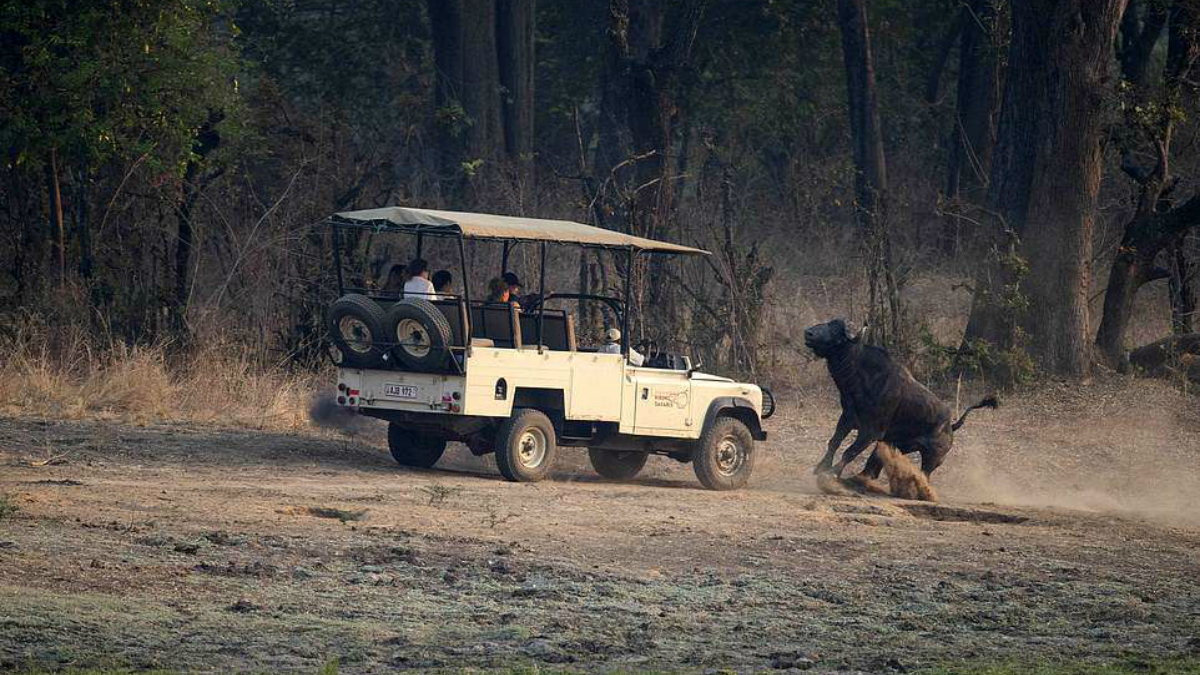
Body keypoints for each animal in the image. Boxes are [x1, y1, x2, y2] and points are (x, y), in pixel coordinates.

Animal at [804, 319, 997, 479]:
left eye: (836, 329)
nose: (808, 332)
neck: (863, 376)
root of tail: (951, 425)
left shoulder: (871, 431)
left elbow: (850, 452)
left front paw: (832, 472)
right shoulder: (847, 418)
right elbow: (834, 442)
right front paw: (821, 467)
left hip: (933, 458)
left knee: (923, 474)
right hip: (895, 445)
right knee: (873, 467)